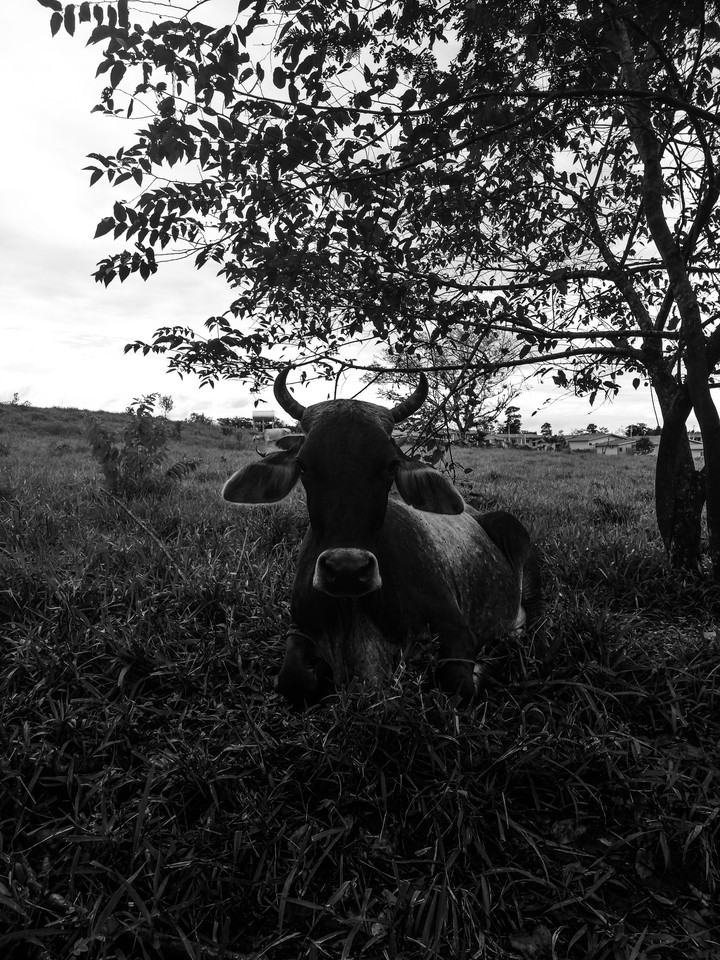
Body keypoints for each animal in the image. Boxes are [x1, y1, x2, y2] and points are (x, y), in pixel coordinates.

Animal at [223, 370, 541, 706]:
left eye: (390, 465)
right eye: (303, 465)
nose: (346, 570)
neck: (352, 609)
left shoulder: (455, 628)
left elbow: (458, 683)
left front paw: (485, 665)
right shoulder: (300, 628)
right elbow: (293, 681)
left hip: (516, 541)